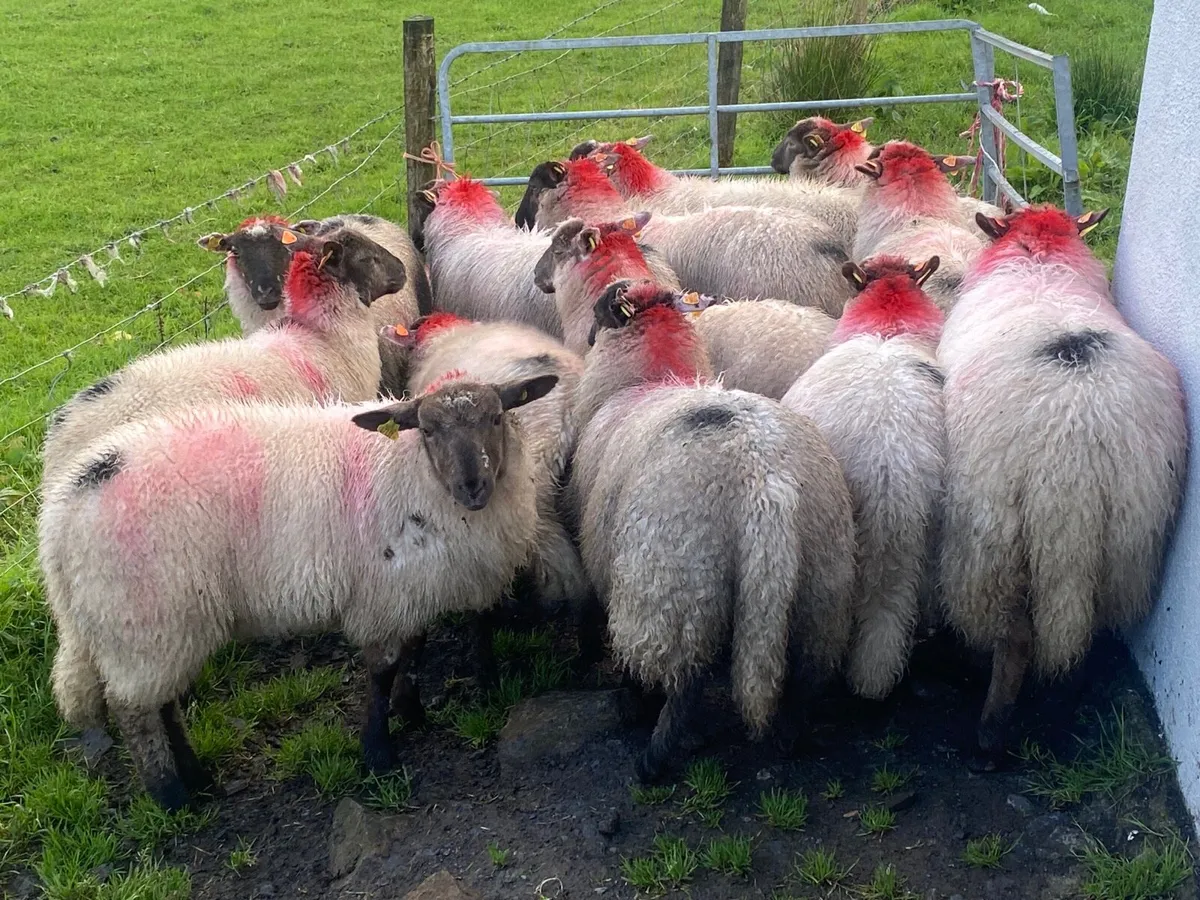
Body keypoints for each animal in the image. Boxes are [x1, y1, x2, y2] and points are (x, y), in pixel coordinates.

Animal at [41, 373, 557, 810]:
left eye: (496, 418)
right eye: (427, 430)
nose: (473, 486)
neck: (412, 472)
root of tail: (59, 514)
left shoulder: (409, 589)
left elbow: (416, 646)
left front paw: (411, 712)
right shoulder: (382, 596)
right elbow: (384, 668)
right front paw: (379, 753)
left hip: (165, 622)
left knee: (162, 700)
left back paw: (198, 779)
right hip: (141, 614)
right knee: (134, 710)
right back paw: (171, 797)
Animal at [567, 280, 855, 781]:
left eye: (600, 317)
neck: (647, 381)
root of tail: (764, 480)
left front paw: (632, 701)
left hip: (675, 582)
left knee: (684, 679)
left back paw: (656, 756)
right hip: (823, 579)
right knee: (807, 673)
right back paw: (789, 737)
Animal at [937, 205, 1187, 770]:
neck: (1042, 262)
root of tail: (1074, 446)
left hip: (990, 540)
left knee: (1013, 637)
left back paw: (990, 729)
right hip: (1129, 537)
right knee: (1085, 627)